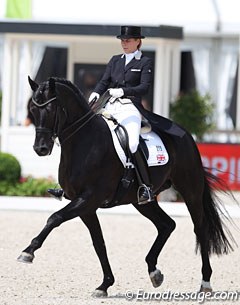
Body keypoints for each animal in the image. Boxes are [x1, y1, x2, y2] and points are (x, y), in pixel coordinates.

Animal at [17, 76, 235, 296]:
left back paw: (205, 282)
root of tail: (186, 135)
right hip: (142, 201)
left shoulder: (89, 198)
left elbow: (55, 218)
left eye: (51, 108)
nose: (40, 148)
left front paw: (28, 252)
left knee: (200, 229)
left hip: (190, 192)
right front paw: (105, 284)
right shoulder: (86, 206)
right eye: (33, 109)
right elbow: (99, 243)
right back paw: (154, 272)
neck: (84, 143)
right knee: (167, 225)